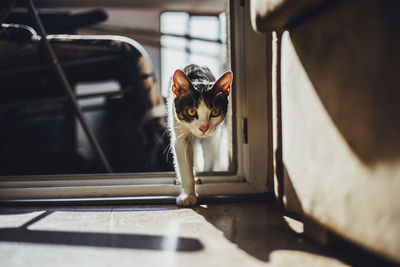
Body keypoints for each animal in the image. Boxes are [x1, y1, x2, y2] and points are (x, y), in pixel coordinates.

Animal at [168, 65, 231, 207]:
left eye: (215, 112)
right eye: (191, 111)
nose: (203, 128)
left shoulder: (213, 136)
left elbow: (209, 156)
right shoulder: (179, 133)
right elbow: (185, 164)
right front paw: (188, 196)